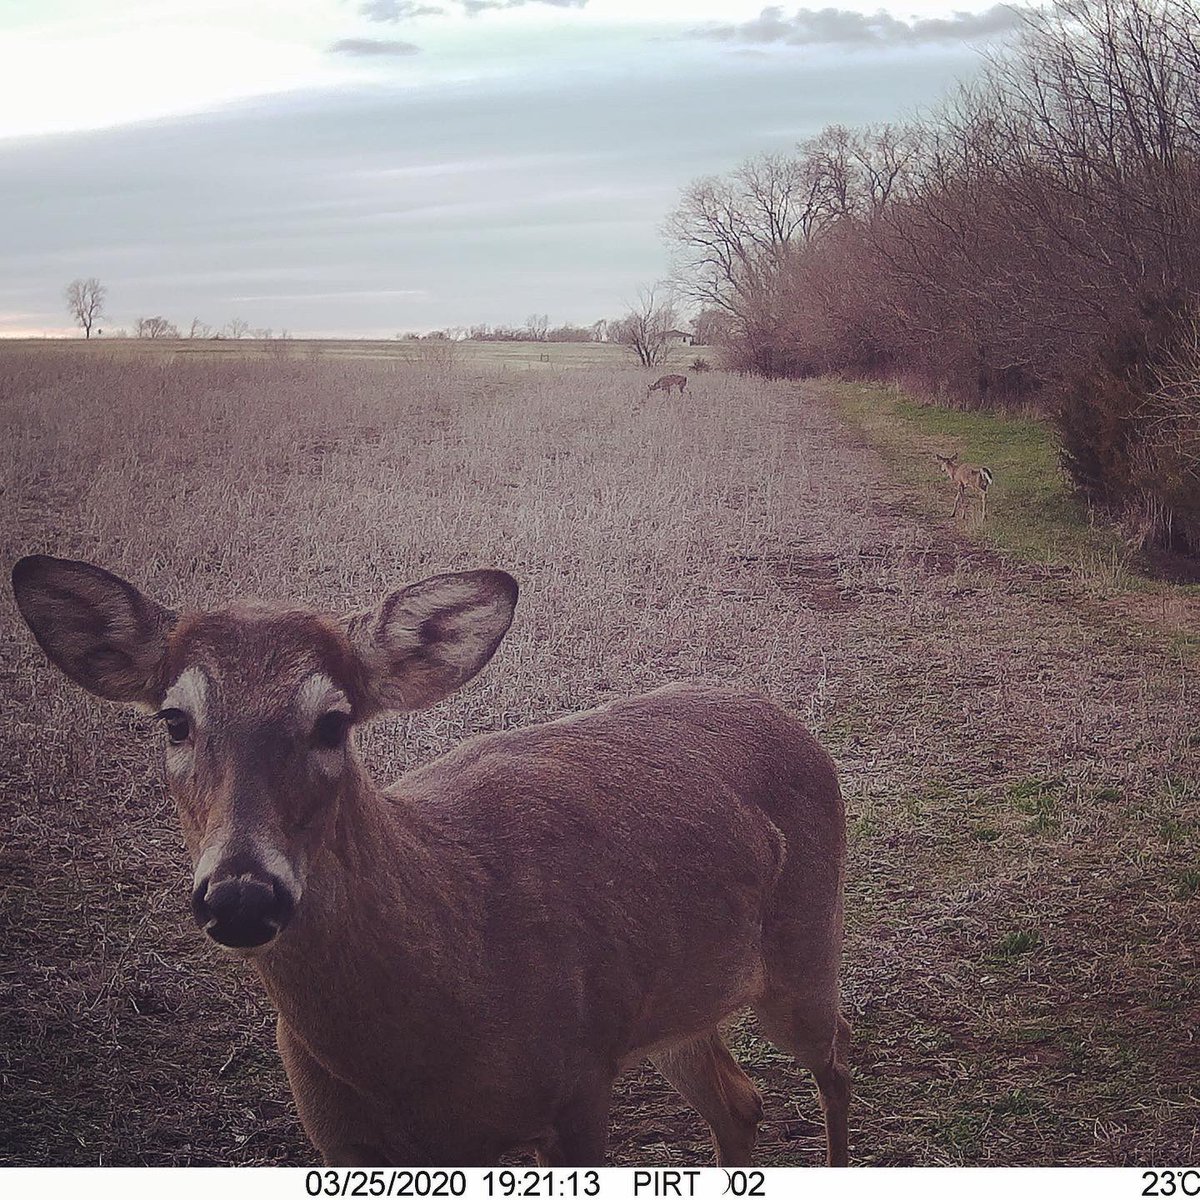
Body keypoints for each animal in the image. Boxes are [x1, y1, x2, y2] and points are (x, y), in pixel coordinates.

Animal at [11, 554, 850, 1168]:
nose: (242, 895)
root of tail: (784, 717)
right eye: (175, 719)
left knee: (834, 1063)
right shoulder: (342, 1139)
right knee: (740, 1102)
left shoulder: (577, 1084)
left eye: (334, 721)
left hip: (804, 944)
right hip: (675, 1003)